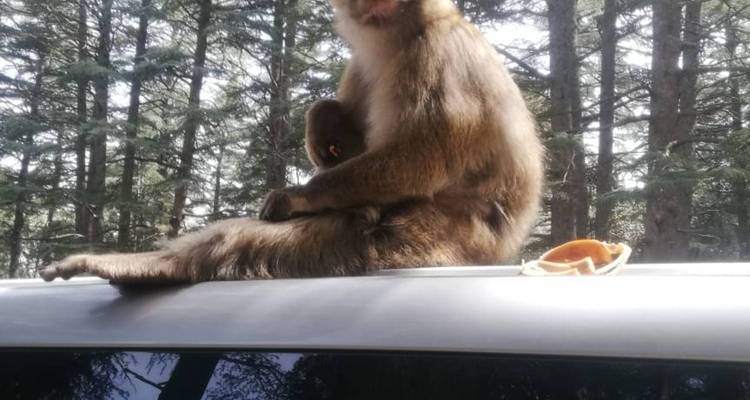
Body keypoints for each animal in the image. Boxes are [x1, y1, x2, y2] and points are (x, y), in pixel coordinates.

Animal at [41, 0, 544, 283]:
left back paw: (149, 266)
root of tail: (505, 246)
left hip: (447, 234)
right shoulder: (365, 60)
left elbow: (421, 158)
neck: (399, 37)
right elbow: (347, 124)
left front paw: (298, 195)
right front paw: (322, 122)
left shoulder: (435, 56)